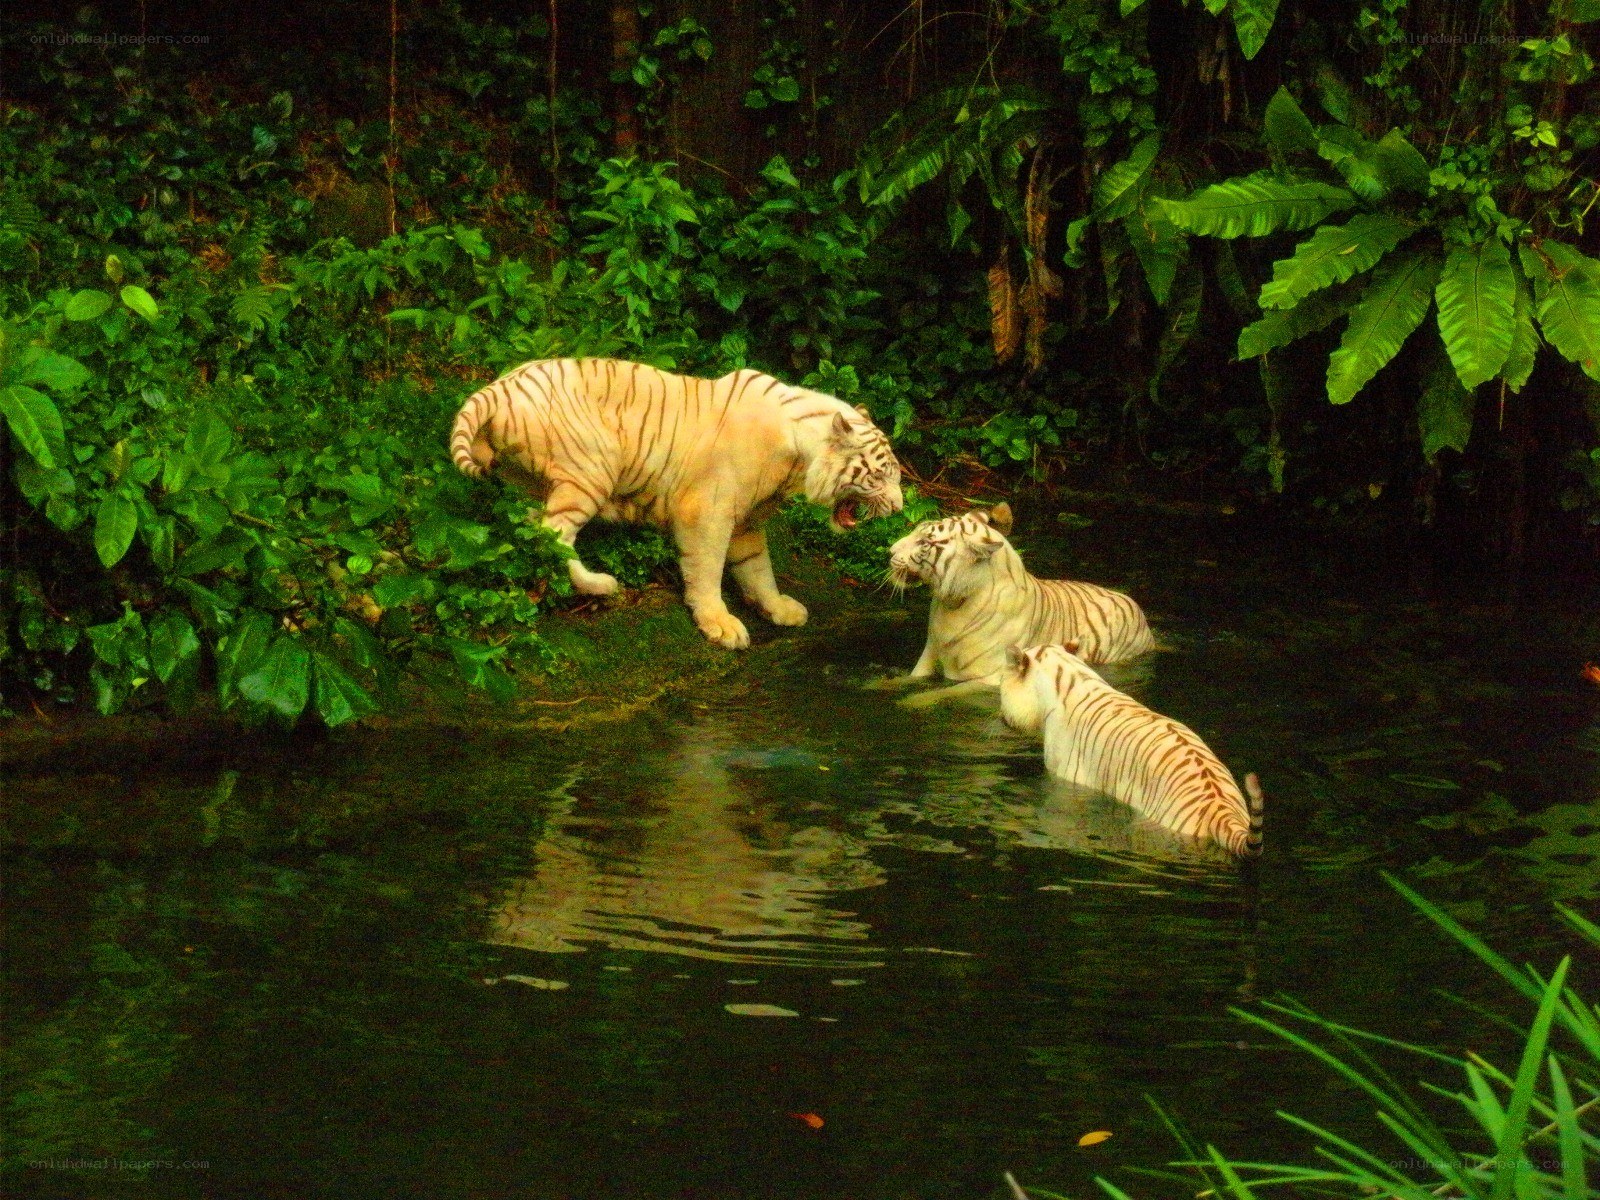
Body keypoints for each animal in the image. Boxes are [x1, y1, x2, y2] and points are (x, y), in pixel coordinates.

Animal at [450, 357, 903, 648]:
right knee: (553, 533)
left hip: (530, 480)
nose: (899, 508)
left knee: (530, 524)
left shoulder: (747, 521)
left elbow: (758, 569)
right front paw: (720, 625)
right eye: (880, 475)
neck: (798, 457)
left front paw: (778, 608)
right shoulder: (708, 511)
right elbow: (708, 569)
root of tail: (496, 387)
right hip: (590, 470)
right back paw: (600, 584)